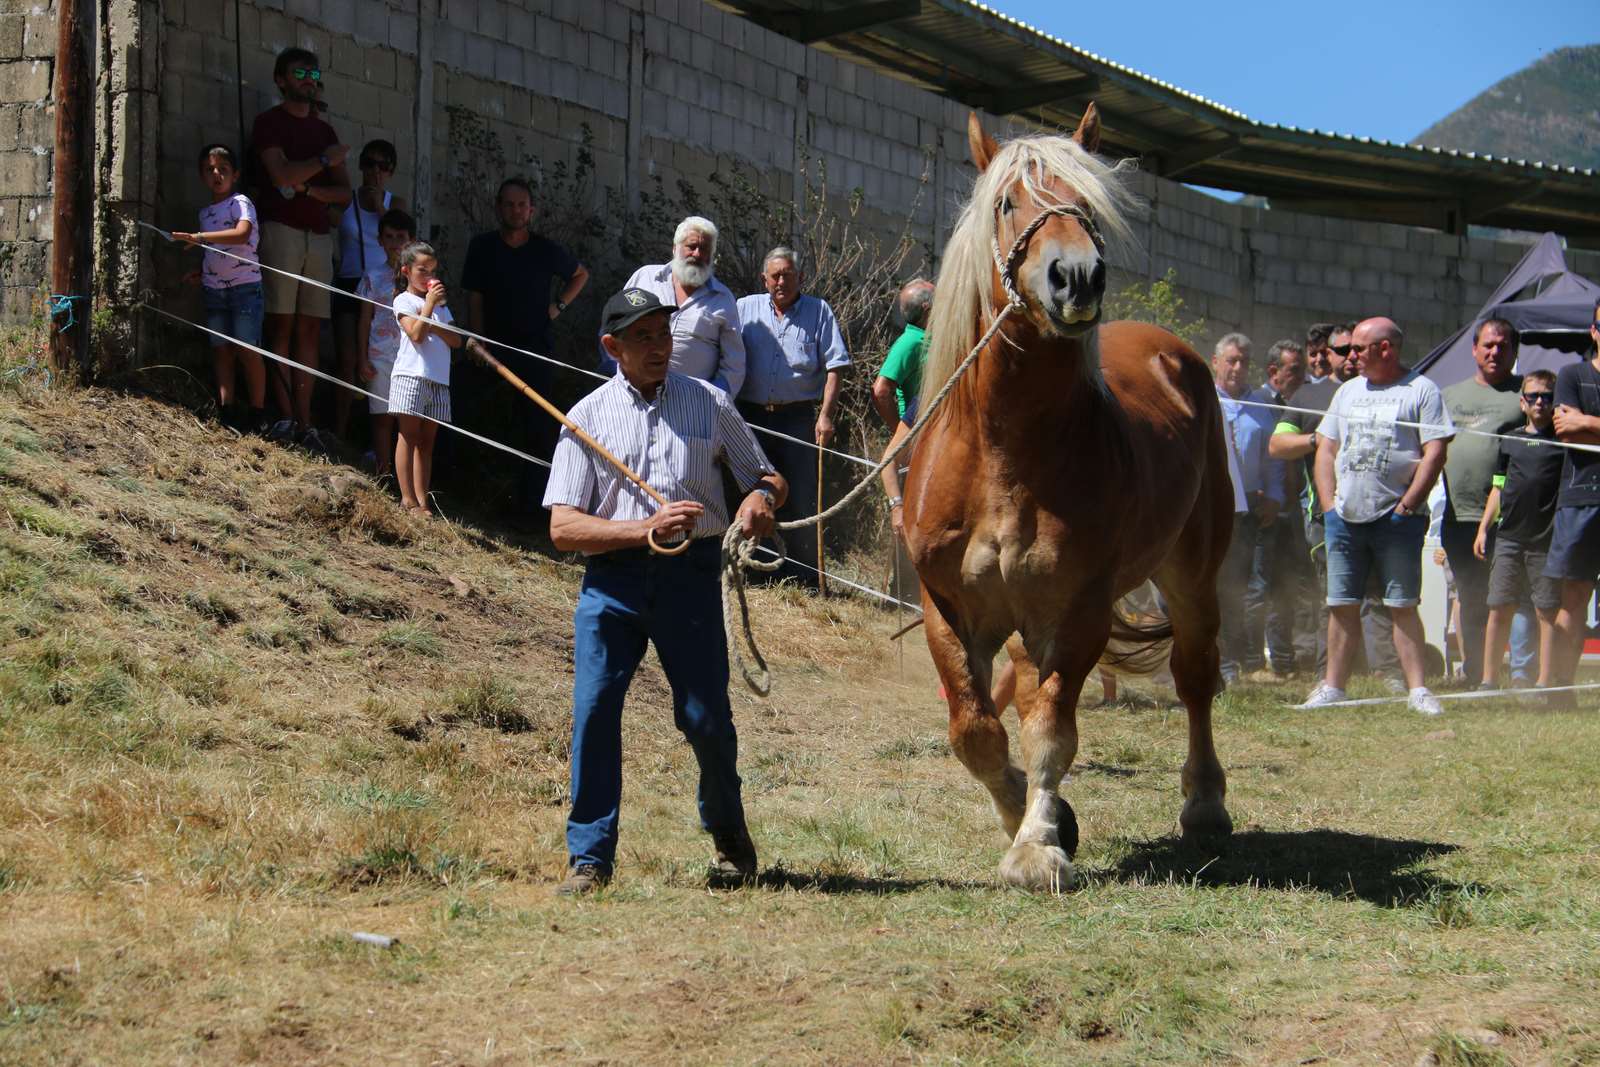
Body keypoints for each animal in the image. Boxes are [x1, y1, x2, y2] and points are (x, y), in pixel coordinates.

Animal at [908, 108, 1228, 895]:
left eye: (1087, 202)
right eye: (1007, 202)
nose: (1076, 275)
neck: (1003, 454)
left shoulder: (1074, 610)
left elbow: (1050, 728)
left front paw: (1037, 845)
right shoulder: (947, 608)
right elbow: (976, 730)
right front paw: (1037, 817)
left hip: (1192, 572)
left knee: (1195, 678)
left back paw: (1206, 804)